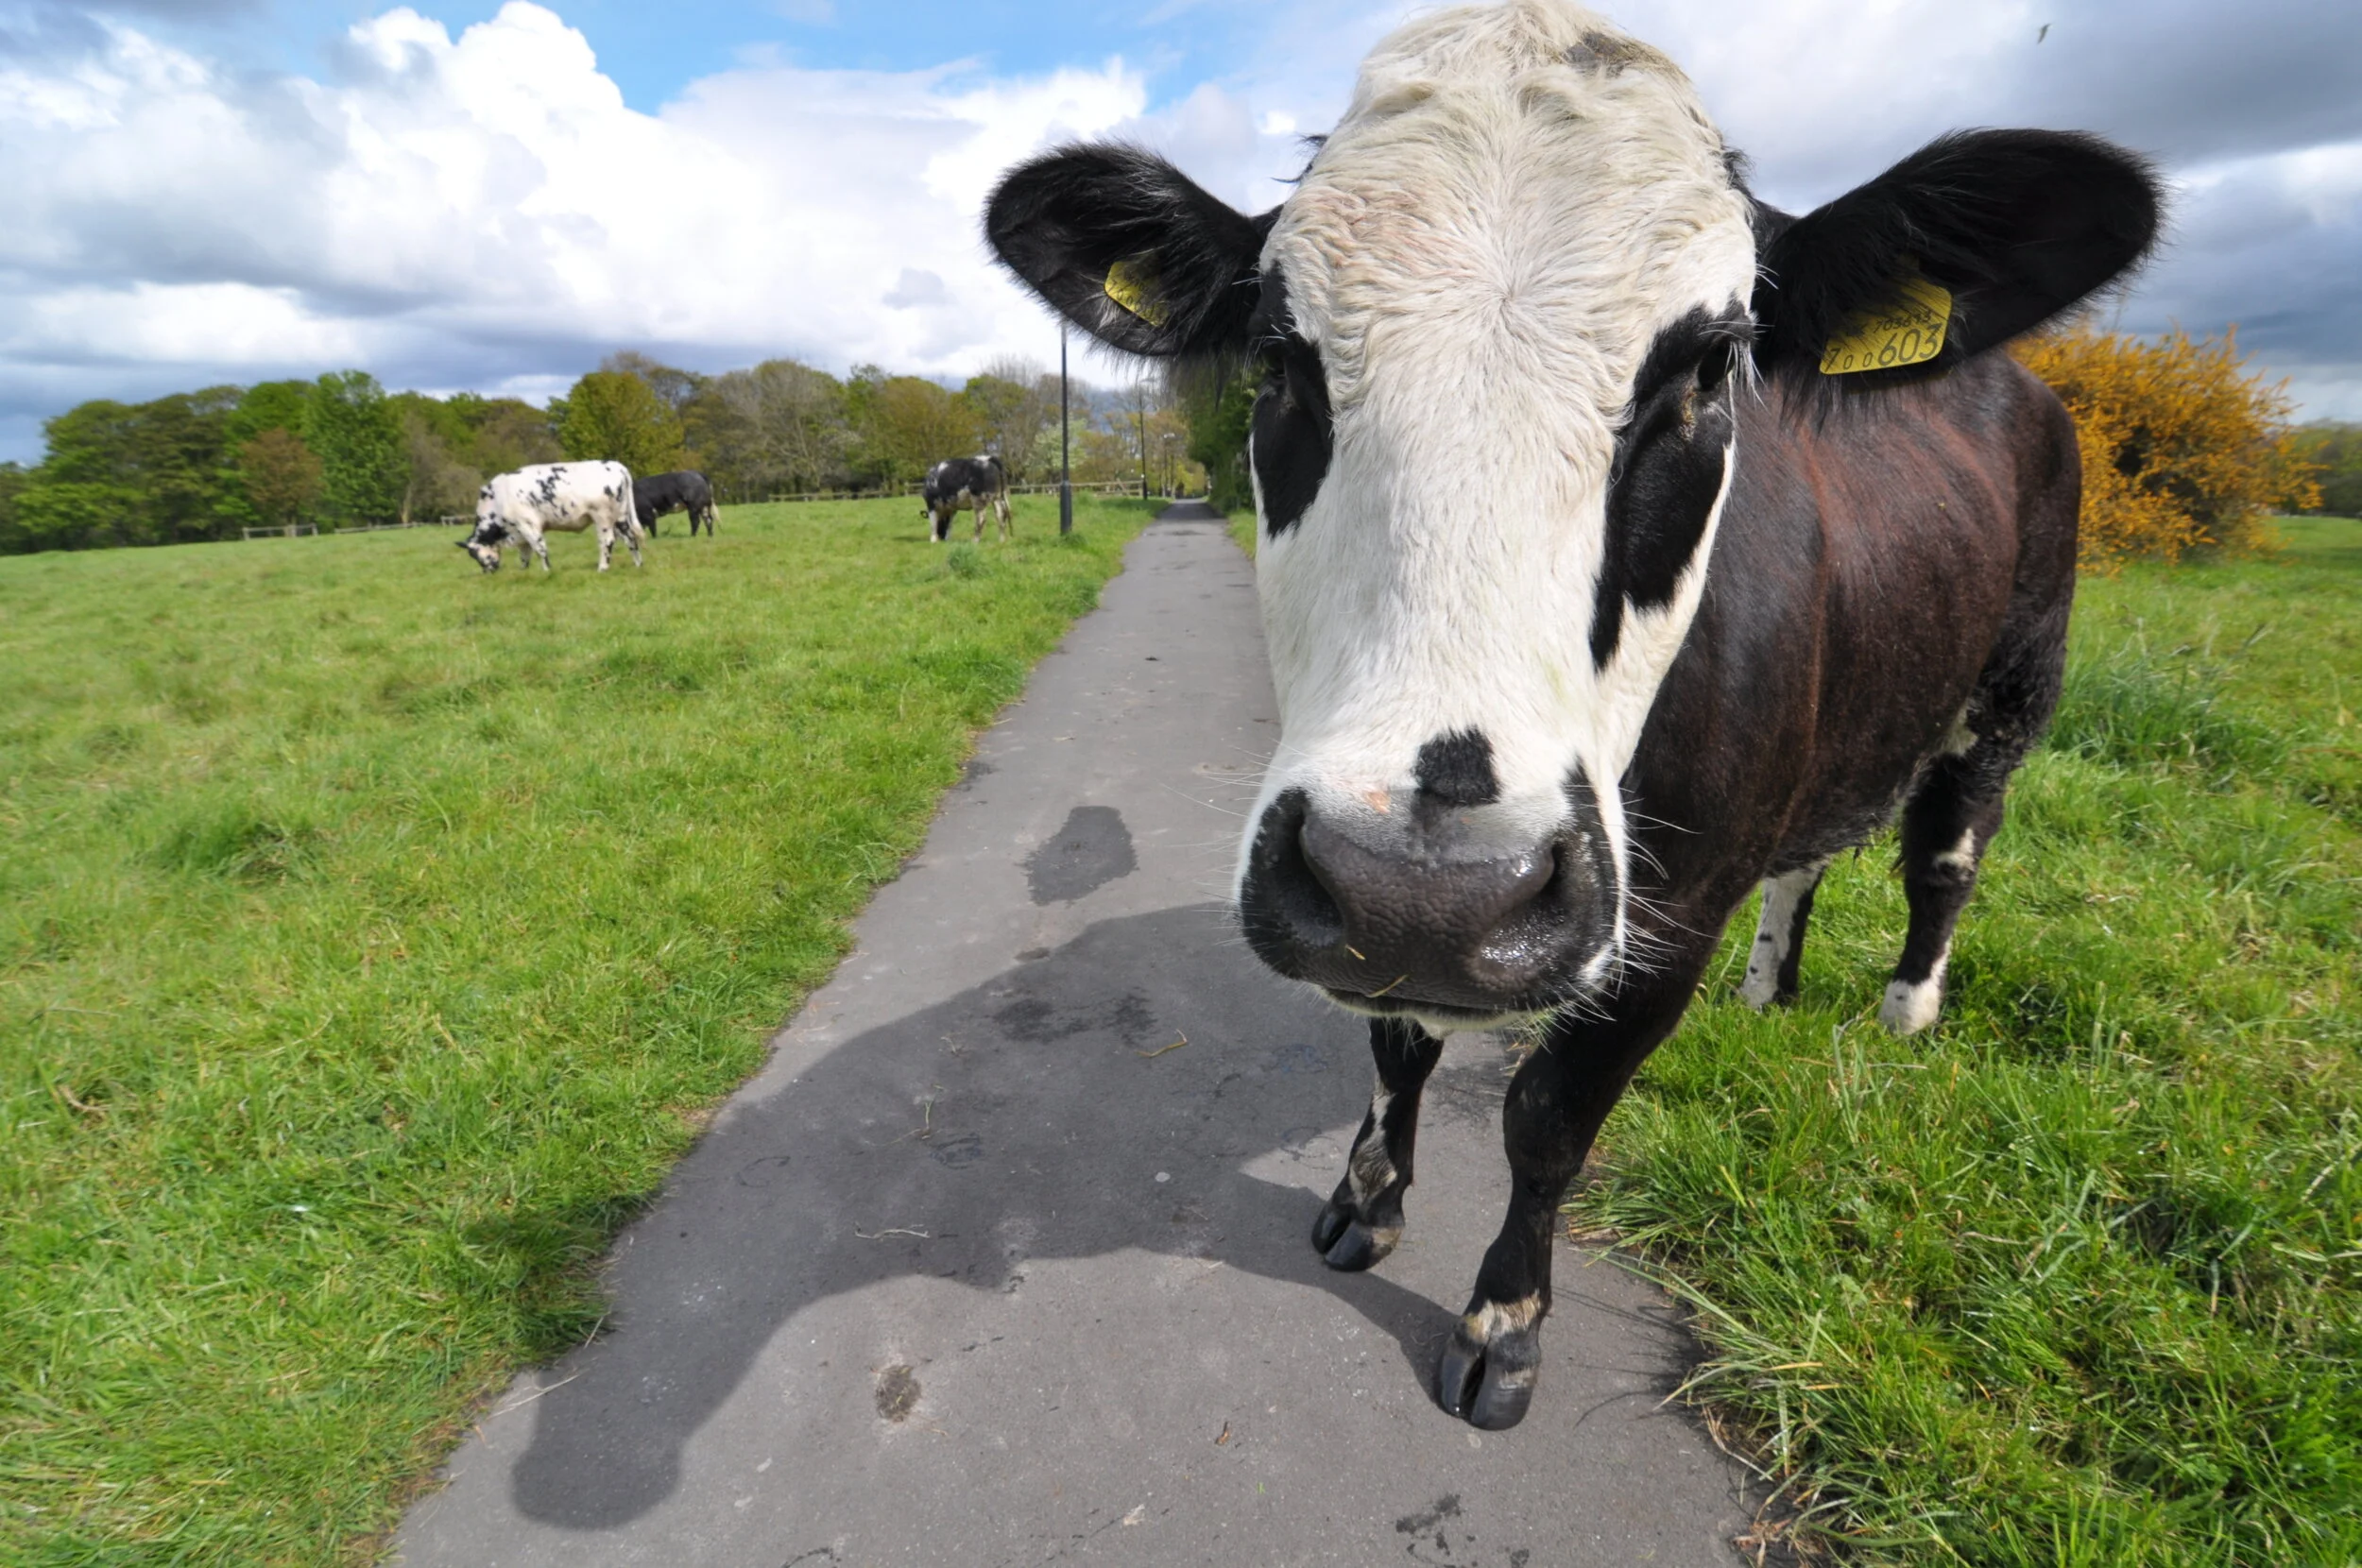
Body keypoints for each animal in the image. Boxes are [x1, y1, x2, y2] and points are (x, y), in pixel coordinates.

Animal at [458, 461, 643, 574]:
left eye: (473, 554)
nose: (487, 571)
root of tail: (615, 465)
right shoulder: (520, 532)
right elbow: (524, 554)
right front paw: (523, 571)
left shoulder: (528, 525)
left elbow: (540, 548)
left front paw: (547, 571)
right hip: (620, 517)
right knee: (630, 539)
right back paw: (638, 564)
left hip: (602, 517)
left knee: (607, 541)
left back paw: (602, 568)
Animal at [985, 0, 2160, 1430]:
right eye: (1276, 355)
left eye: (1713, 367)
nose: (1427, 893)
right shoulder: (1378, 889)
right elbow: (1395, 1041)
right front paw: (1367, 1201)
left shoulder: (1670, 914)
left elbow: (1548, 1116)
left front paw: (1505, 1321)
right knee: (1815, 855)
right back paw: (1771, 995)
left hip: (2015, 682)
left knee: (1945, 850)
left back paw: (1903, 1016)